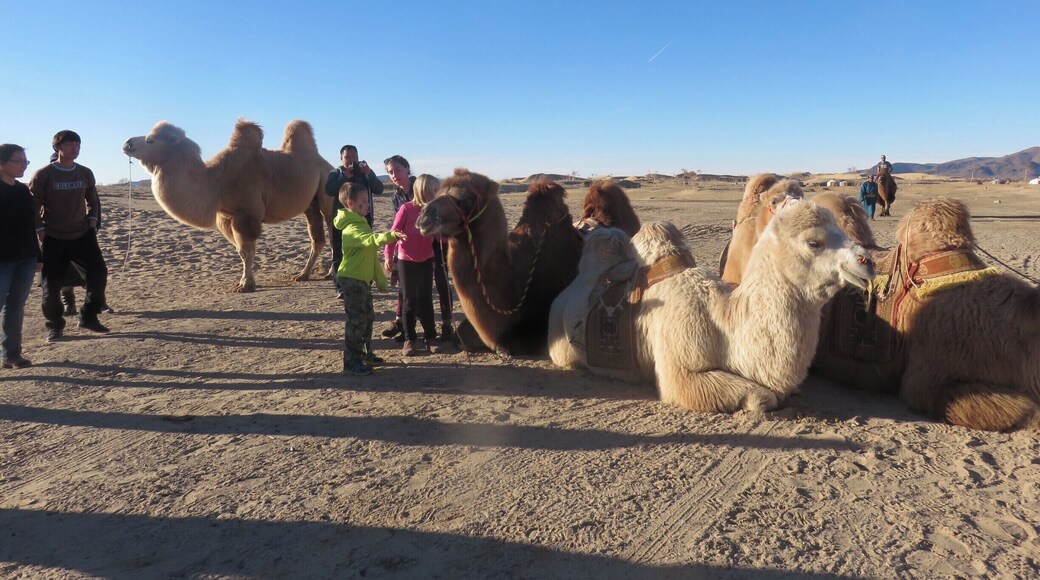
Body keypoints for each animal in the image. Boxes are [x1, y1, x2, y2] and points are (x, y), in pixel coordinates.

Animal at [122, 119, 334, 292]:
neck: (217, 181)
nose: (127, 143)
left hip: (327, 193)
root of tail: (327, 164)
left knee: (333, 234)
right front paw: (243, 282)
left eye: (150, 140)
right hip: (310, 205)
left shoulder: (246, 214)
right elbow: (241, 252)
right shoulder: (226, 217)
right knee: (317, 239)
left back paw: (330, 273)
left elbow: (246, 251)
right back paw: (303, 274)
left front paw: (246, 285)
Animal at [550, 203, 875, 413]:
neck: (723, 322)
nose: (867, 261)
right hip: (563, 351)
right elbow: (763, 398)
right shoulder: (681, 373)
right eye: (814, 242)